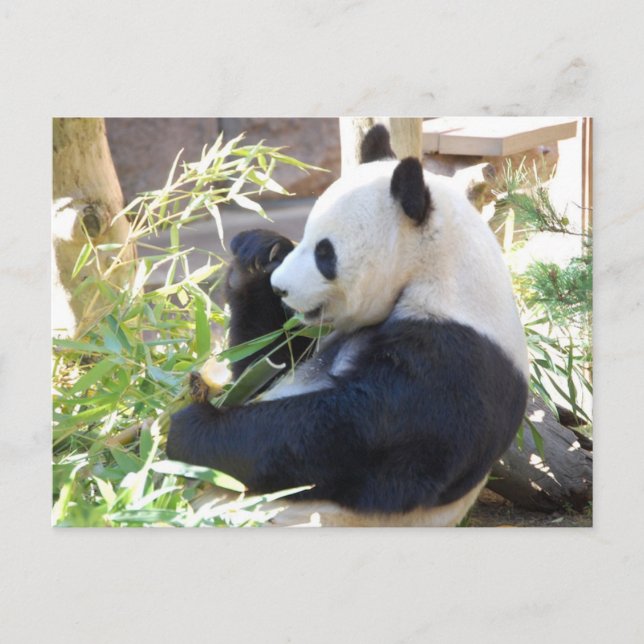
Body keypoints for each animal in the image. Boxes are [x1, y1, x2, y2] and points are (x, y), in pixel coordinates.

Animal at [167, 125, 529, 527]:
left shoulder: (454, 360)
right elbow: (267, 364)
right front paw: (258, 255)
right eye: (305, 236)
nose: (281, 287)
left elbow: (349, 439)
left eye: (325, 253)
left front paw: (190, 427)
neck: (436, 269)